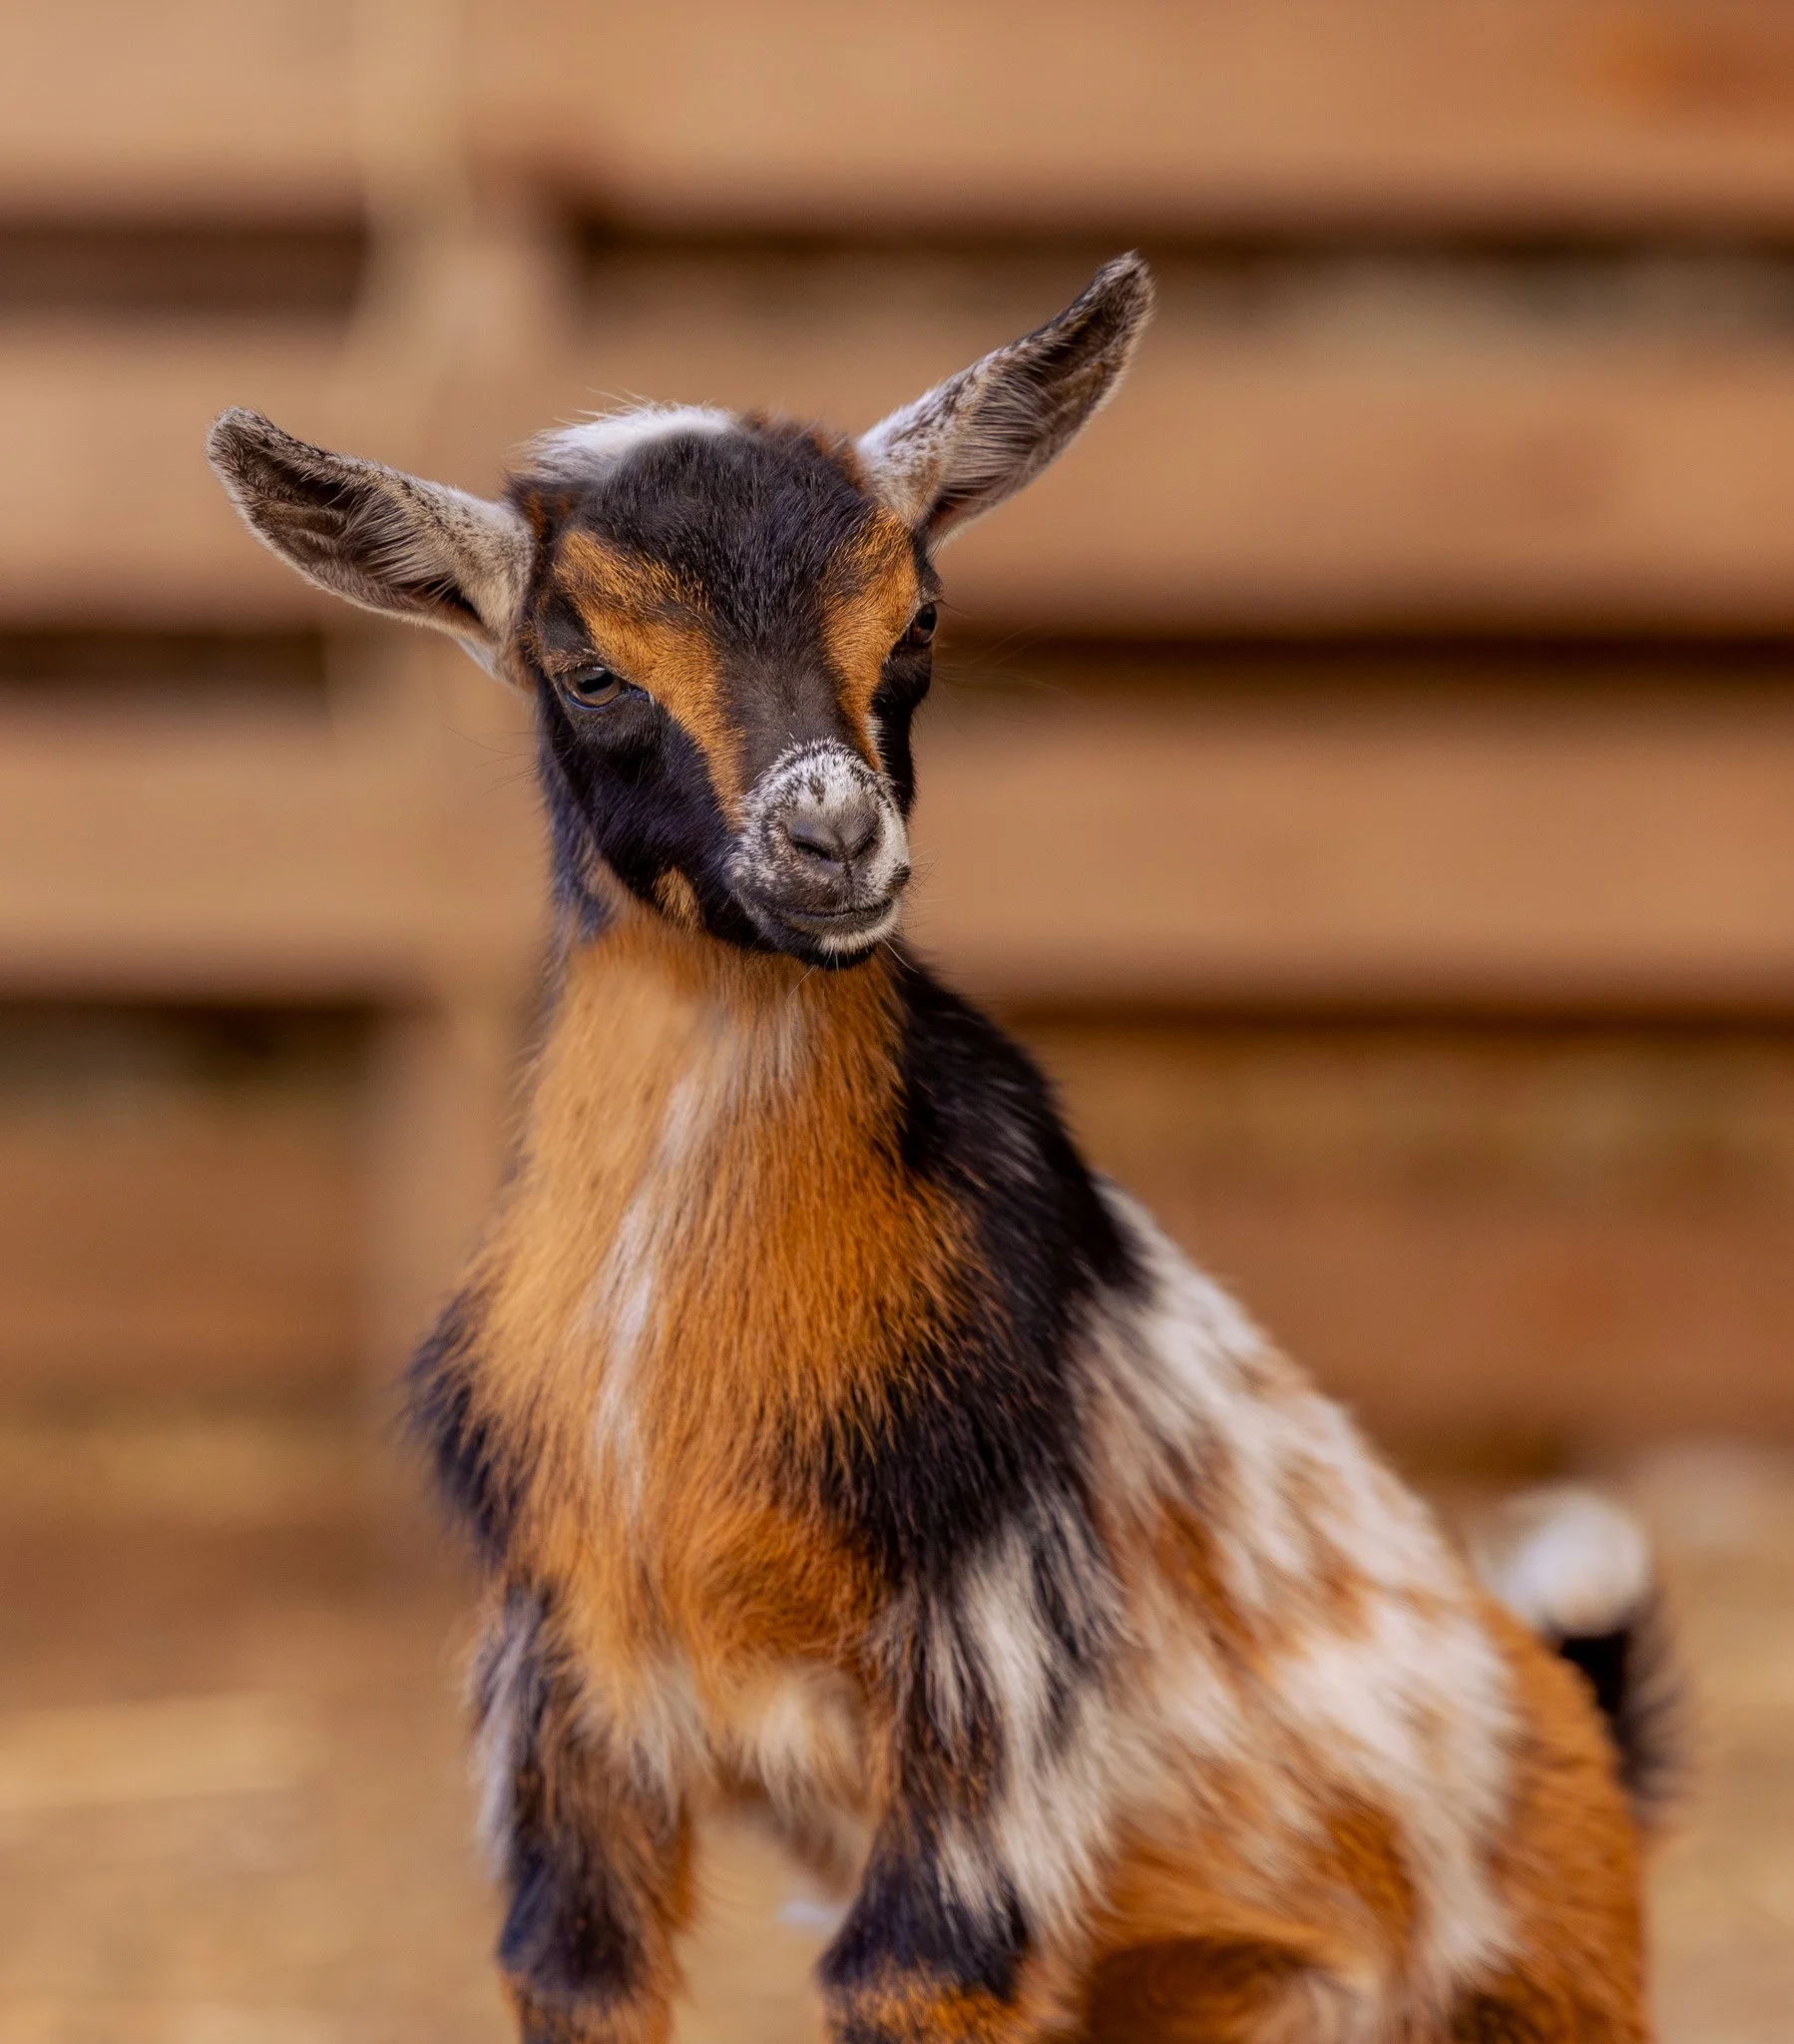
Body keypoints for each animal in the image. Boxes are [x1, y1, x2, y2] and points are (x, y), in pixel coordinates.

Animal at [208, 254, 1675, 2043]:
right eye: (585, 664)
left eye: (911, 622)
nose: (833, 836)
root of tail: (1586, 1734)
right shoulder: (563, 1676)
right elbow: (577, 1968)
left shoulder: (985, 1661)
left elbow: (917, 1961)